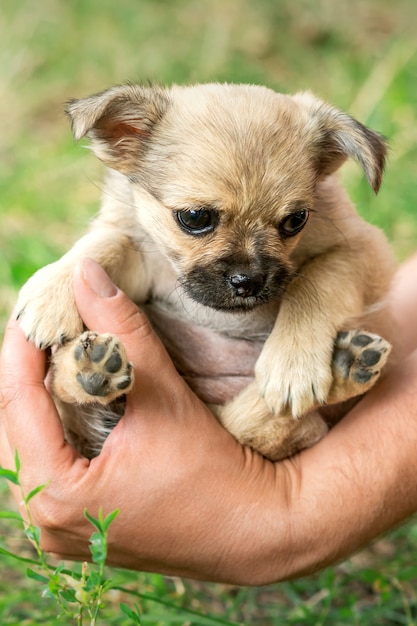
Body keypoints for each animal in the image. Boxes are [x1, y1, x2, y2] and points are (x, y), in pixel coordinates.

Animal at [17, 83, 396, 456]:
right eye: (195, 217)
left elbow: (315, 281)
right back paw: (92, 370)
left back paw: (346, 366)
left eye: (295, 220)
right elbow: (104, 243)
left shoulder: (362, 250)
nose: (248, 281)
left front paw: (293, 363)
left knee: (261, 428)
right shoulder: (142, 254)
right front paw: (52, 291)